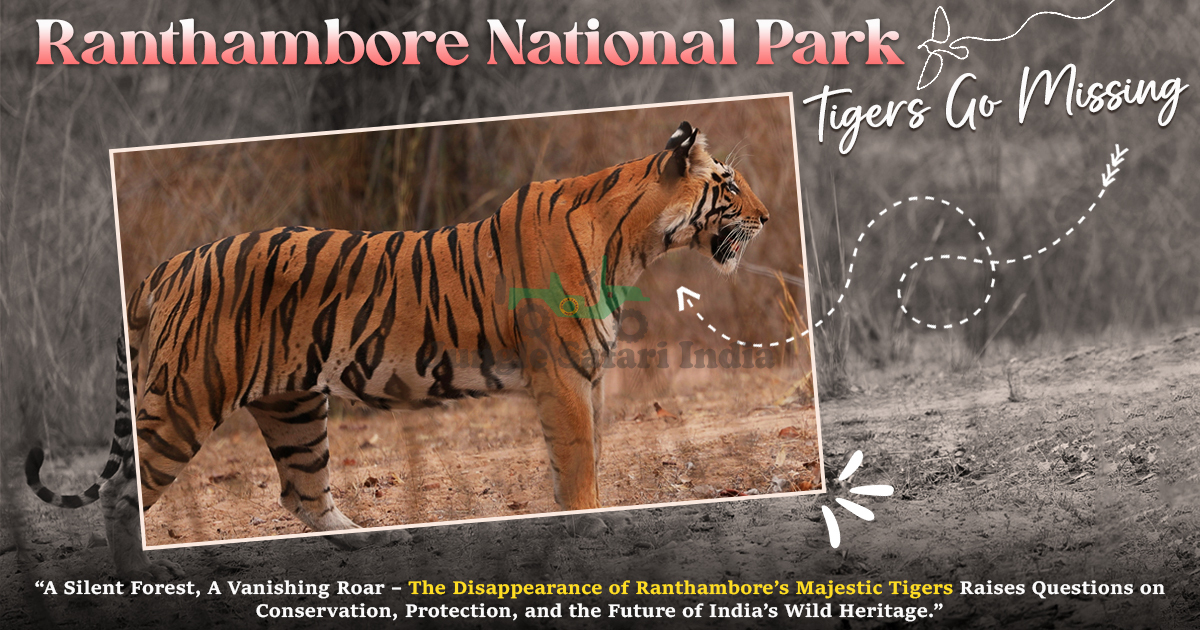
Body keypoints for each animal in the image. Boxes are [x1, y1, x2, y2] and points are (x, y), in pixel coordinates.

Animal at [26, 121, 770, 579]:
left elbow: (582, 459)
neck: (636, 243)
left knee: (302, 493)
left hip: (293, 405)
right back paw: (141, 576)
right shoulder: (561, 374)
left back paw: (378, 538)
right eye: (729, 185)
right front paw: (590, 528)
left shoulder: (585, 375)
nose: (765, 218)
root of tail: (173, 262)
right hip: (188, 397)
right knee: (122, 489)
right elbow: (579, 462)